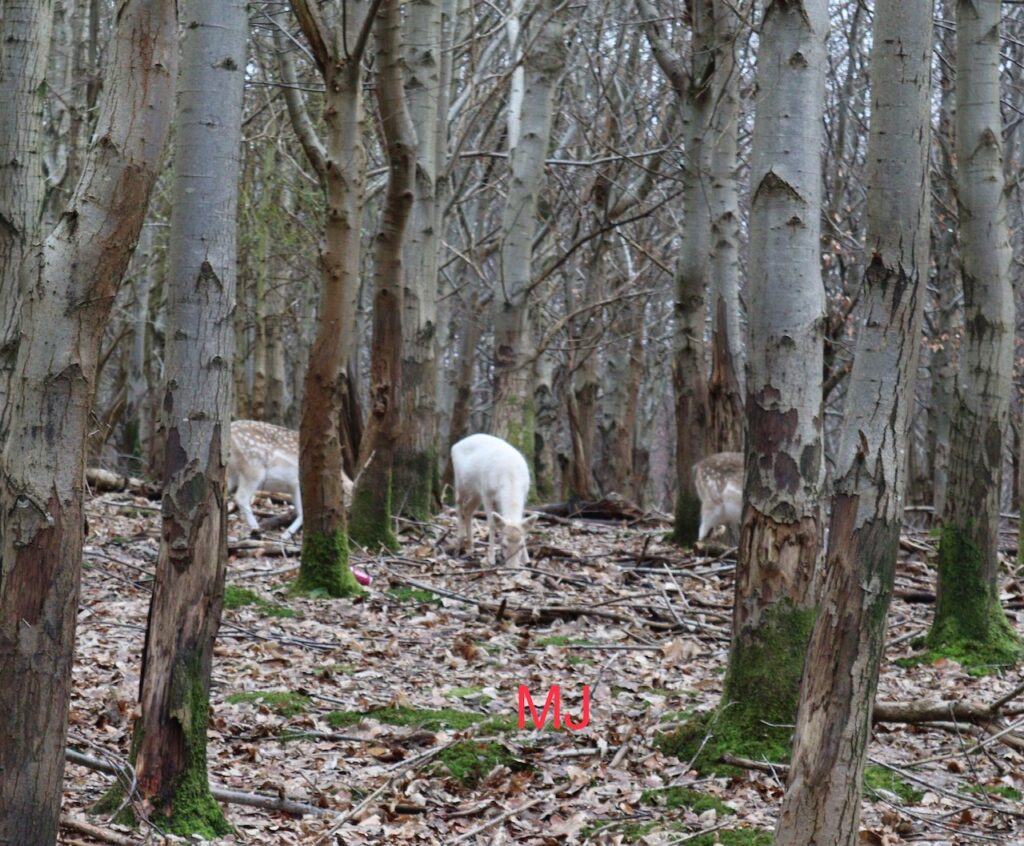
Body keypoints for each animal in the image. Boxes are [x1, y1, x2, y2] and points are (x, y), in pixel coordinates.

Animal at [451, 433, 538, 567]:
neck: (511, 477)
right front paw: (491, 559)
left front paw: (527, 560)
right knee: (459, 504)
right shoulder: (487, 493)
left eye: (521, 545)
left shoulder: (525, 494)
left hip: (476, 492)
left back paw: (470, 547)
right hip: (461, 482)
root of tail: (456, 445)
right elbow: (491, 524)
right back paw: (458, 543)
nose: (513, 567)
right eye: (504, 545)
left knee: (468, 509)